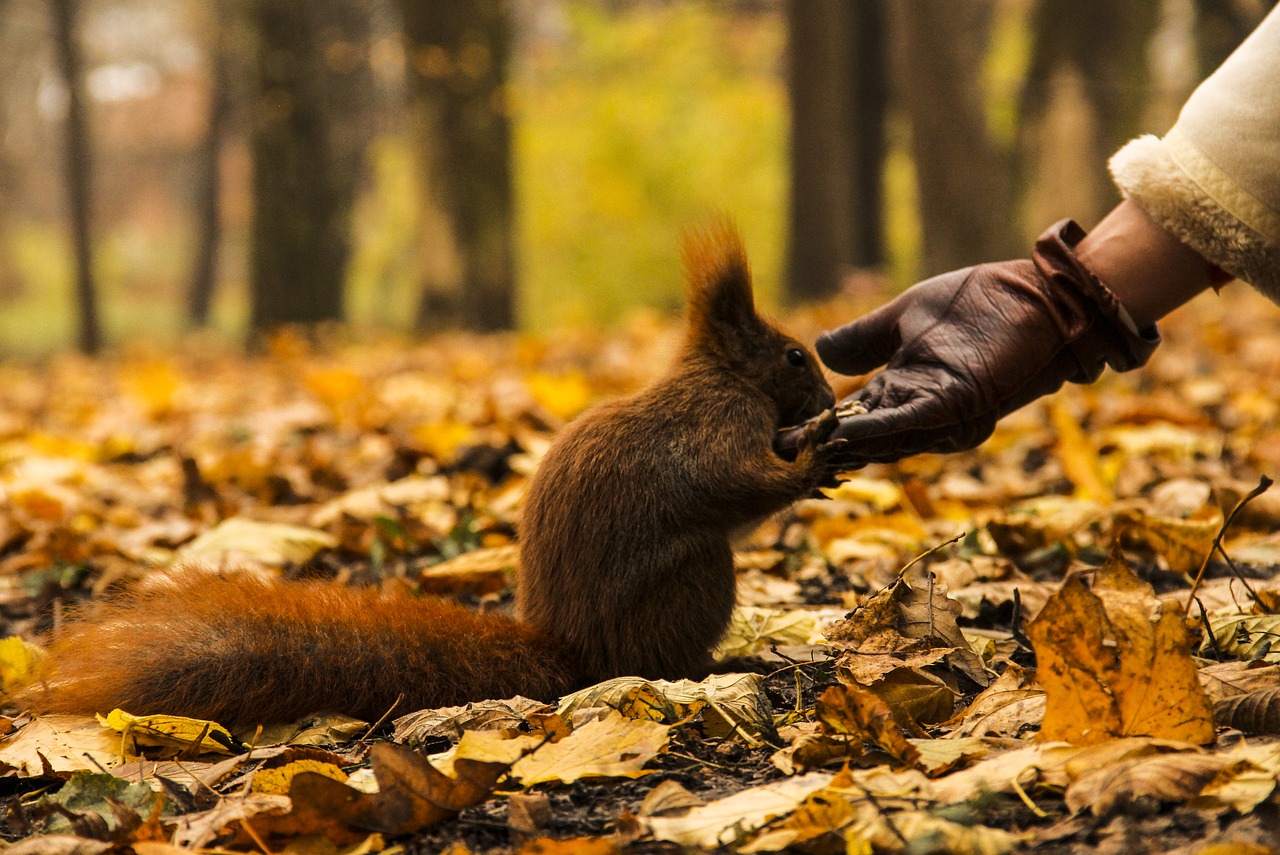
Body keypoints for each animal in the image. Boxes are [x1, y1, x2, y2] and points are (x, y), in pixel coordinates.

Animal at [22, 223, 839, 727]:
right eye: (795, 356)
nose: (832, 397)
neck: (723, 376)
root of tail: (577, 653)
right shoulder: (718, 423)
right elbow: (737, 481)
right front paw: (810, 463)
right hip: (698, 577)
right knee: (671, 654)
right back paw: (719, 660)